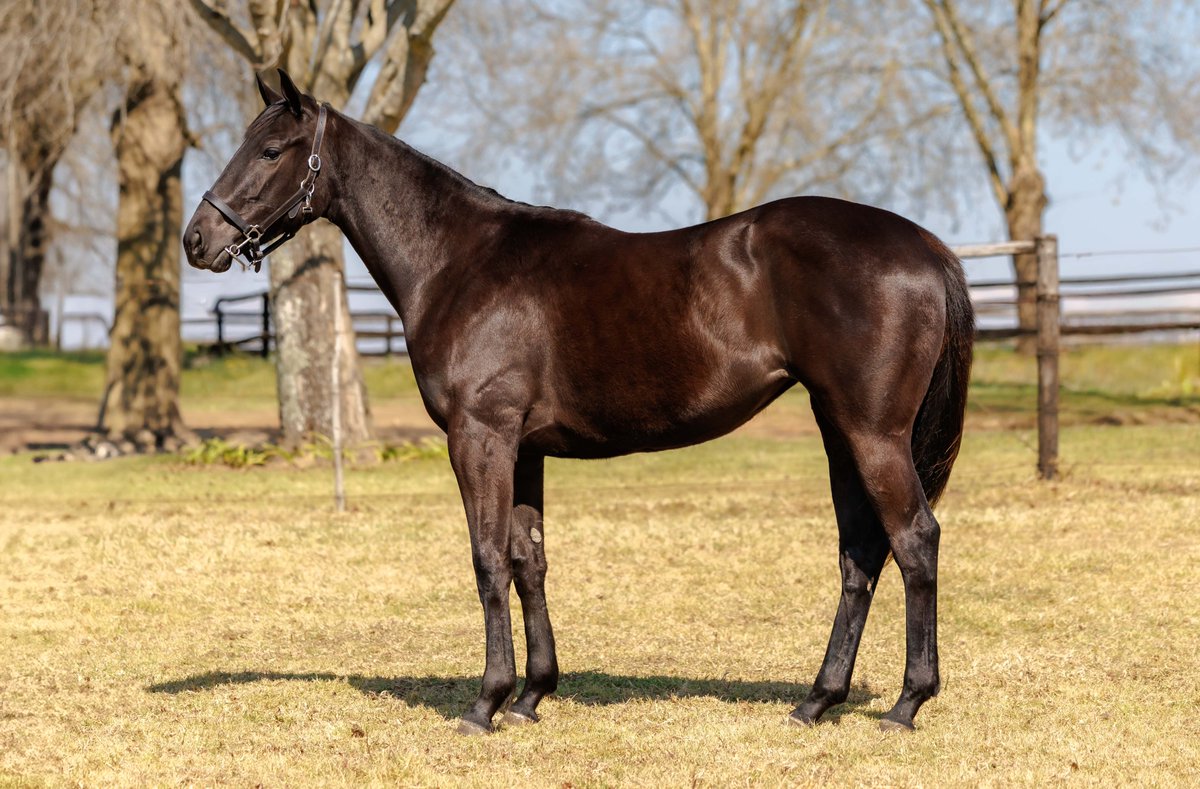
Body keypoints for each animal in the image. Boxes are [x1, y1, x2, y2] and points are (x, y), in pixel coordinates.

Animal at [184, 70, 973, 735]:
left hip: (872, 432)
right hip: (840, 430)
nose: (198, 238)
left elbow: (487, 559)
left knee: (914, 541)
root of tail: (926, 247)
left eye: (271, 150)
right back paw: (817, 700)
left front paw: (485, 703)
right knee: (860, 554)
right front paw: (532, 694)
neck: (459, 261)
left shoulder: (480, 436)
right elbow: (528, 560)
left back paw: (906, 703)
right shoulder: (523, 447)